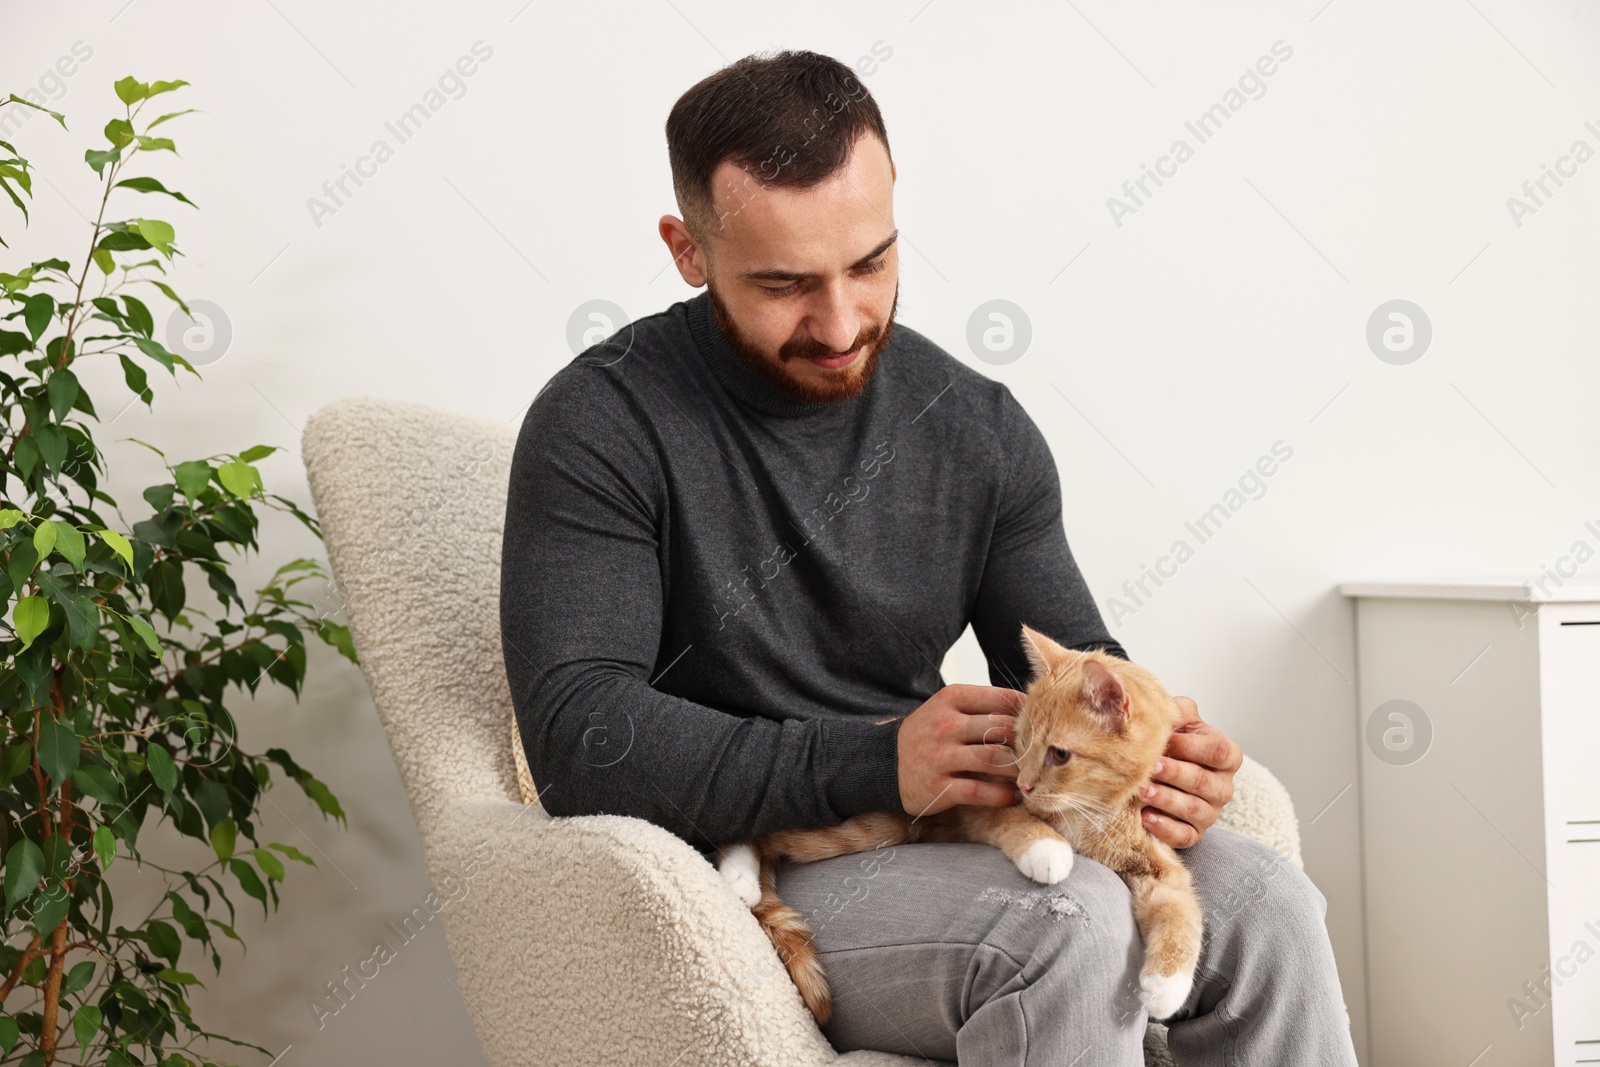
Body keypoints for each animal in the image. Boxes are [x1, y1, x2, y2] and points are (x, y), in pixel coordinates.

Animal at [720, 627, 1203, 1023]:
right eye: (1020, 742)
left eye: (1060, 754)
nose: (1024, 783)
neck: (1090, 809)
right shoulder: (979, 801)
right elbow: (1019, 821)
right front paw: (1049, 851)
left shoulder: (1154, 858)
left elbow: (1182, 908)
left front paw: (1165, 987)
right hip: (868, 824)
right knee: (755, 827)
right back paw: (739, 876)